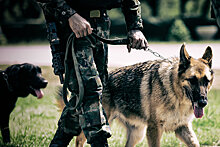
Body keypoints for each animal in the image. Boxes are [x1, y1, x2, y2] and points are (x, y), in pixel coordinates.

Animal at [70, 44, 213, 147]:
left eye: (206, 81)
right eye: (192, 80)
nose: (203, 103)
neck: (174, 93)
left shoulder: (182, 128)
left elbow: (195, 143)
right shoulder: (154, 129)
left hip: (137, 134)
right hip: (101, 124)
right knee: (80, 139)